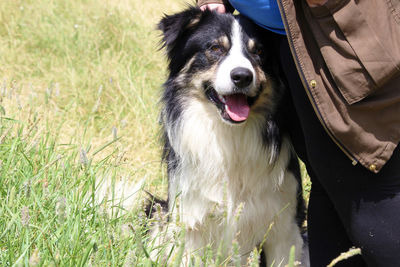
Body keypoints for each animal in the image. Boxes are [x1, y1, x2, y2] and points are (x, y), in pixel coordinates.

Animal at [148, 6, 308, 267]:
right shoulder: (192, 223)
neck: (230, 137)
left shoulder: (284, 226)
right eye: (215, 48)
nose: (242, 76)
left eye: (259, 52)